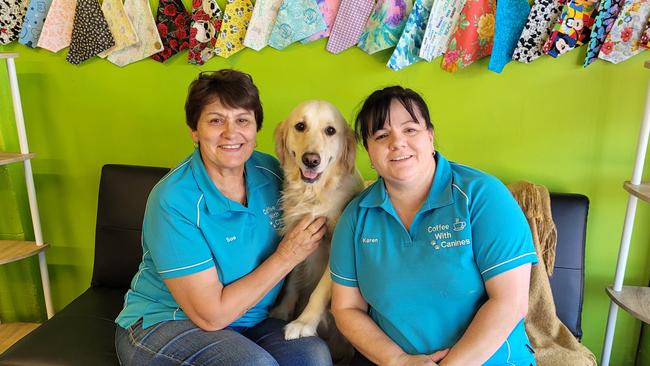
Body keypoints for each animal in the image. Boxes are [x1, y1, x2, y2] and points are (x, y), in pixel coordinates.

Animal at [272, 98, 364, 362]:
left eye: (330, 130)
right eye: (300, 126)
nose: (310, 159)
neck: (313, 194)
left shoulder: (337, 249)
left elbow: (319, 291)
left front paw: (303, 323)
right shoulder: (297, 235)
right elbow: (291, 281)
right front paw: (282, 310)